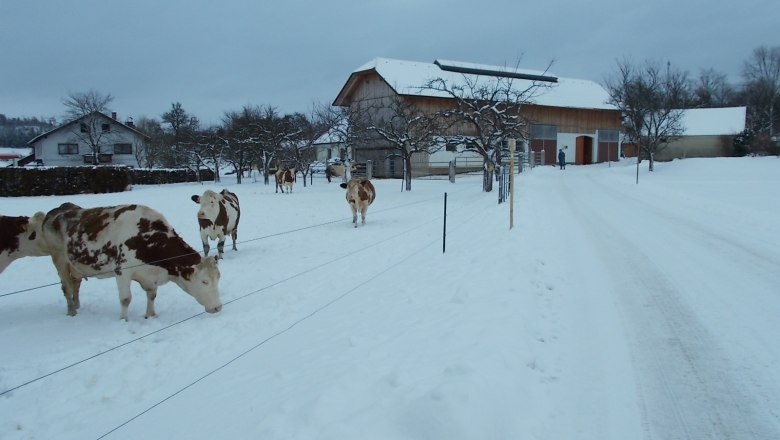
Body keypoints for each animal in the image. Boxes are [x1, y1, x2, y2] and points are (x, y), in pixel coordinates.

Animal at [41, 203, 222, 320]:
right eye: (204, 281)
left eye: (218, 279)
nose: (218, 307)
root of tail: (56, 212)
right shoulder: (122, 271)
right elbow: (126, 299)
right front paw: (124, 320)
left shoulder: (150, 276)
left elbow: (152, 295)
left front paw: (150, 315)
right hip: (59, 260)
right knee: (66, 287)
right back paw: (71, 312)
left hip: (75, 266)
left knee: (75, 284)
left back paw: (76, 305)